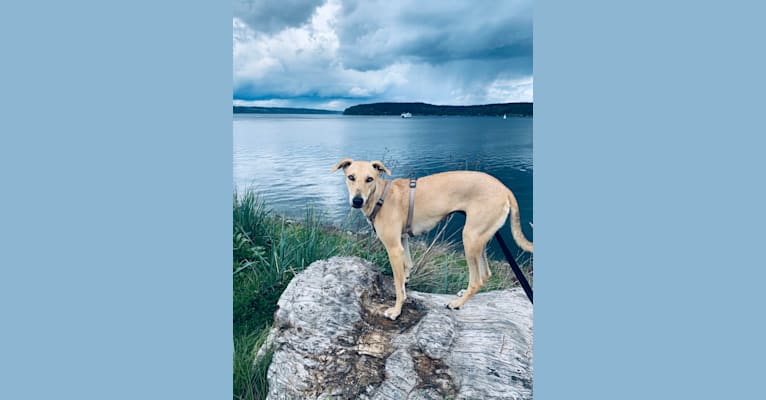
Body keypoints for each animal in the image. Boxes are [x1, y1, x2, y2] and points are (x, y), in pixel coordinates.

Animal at [332, 158, 536, 320]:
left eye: (369, 179)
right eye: (351, 177)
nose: (357, 201)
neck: (381, 196)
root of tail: (504, 188)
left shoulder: (394, 249)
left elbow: (398, 287)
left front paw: (396, 311)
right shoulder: (403, 242)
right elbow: (407, 269)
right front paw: (405, 283)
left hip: (470, 239)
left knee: (477, 279)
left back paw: (457, 303)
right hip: (480, 239)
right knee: (485, 274)